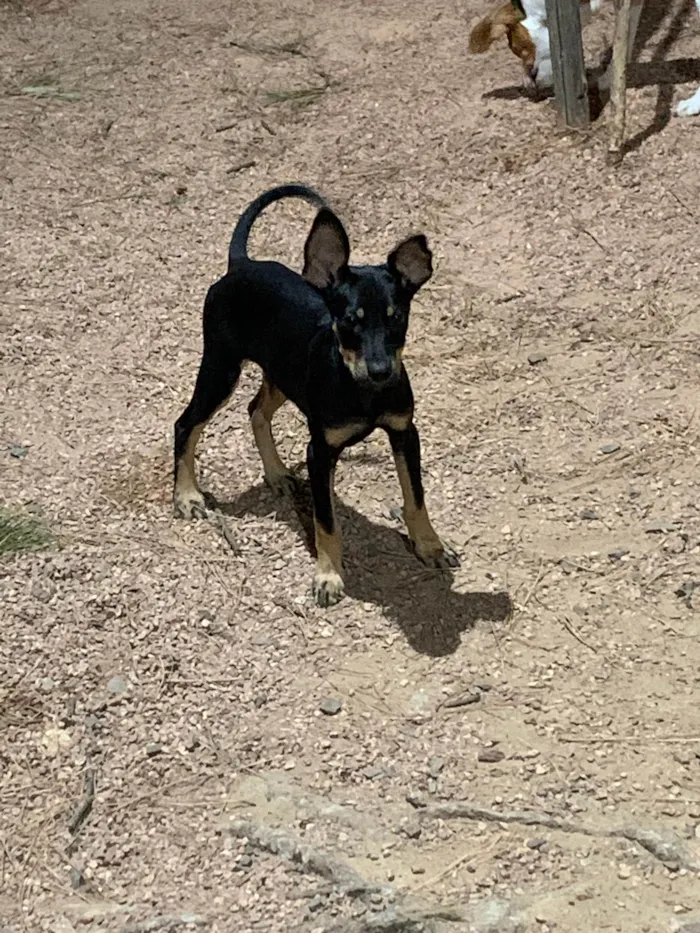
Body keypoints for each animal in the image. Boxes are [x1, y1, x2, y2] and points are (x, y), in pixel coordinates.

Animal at [175, 186, 460, 608]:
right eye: (350, 321)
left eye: (397, 318)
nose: (381, 372)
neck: (363, 393)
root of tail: (240, 264)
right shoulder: (320, 451)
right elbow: (325, 520)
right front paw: (328, 577)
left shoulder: (404, 432)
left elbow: (416, 497)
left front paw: (430, 546)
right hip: (220, 369)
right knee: (186, 424)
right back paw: (187, 495)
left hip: (281, 373)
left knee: (255, 409)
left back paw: (276, 473)